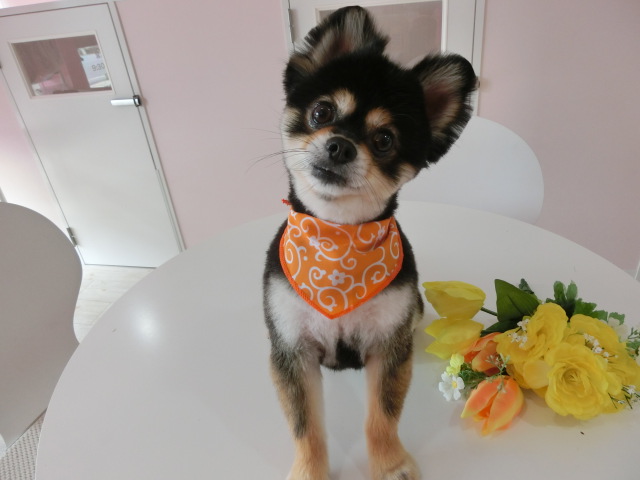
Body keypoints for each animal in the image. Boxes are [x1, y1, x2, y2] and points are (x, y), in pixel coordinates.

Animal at [263, 6, 476, 479]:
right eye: (321, 112)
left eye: (383, 140)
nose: (340, 147)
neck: (337, 240)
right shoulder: (292, 350)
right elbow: (306, 426)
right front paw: (309, 471)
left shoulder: (388, 347)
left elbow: (382, 416)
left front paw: (389, 465)